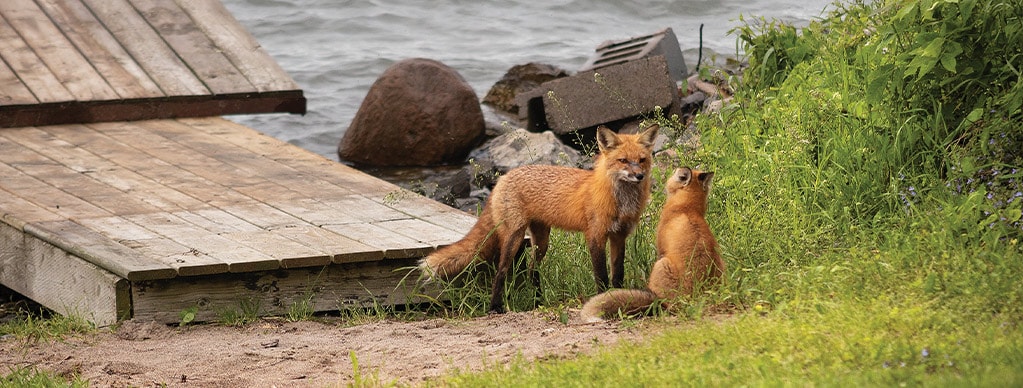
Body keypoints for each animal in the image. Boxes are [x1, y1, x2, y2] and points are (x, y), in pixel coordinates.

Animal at [419, 125, 658, 315]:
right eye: (623, 160)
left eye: (642, 160)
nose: (639, 176)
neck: (620, 201)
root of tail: (503, 178)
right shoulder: (595, 236)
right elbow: (601, 276)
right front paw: (602, 299)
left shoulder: (619, 236)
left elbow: (618, 275)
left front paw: (617, 296)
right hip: (514, 237)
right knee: (501, 271)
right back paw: (495, 307)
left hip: (541, 241)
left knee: (532, 270)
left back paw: (537, 301)